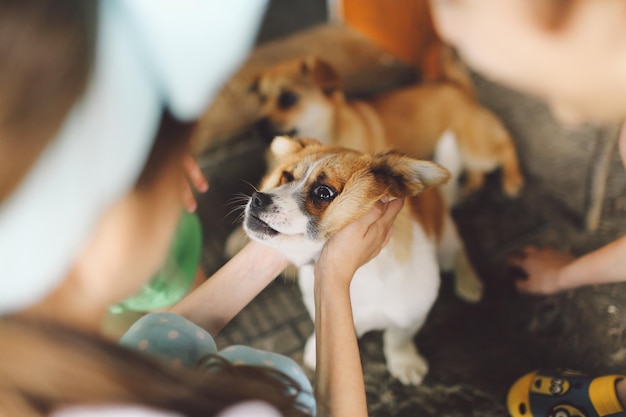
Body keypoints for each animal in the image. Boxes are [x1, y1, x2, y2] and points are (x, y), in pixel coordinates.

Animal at [241, 136, 480, 384]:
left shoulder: (412, 315)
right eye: (286, 176)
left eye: (323, 192)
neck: (362, 274)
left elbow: (397, 339)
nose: (258, 199)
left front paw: (405, 361)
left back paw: (469, 283)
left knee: (458, 251)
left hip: (445, 244)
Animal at [247, 56, 520, 206]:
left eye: (289, 98)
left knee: (505, 145)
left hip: (475, 146)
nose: (257, 124)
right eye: (261, 100)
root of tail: (457, 86)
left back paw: (512, 179)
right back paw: (473, 185)